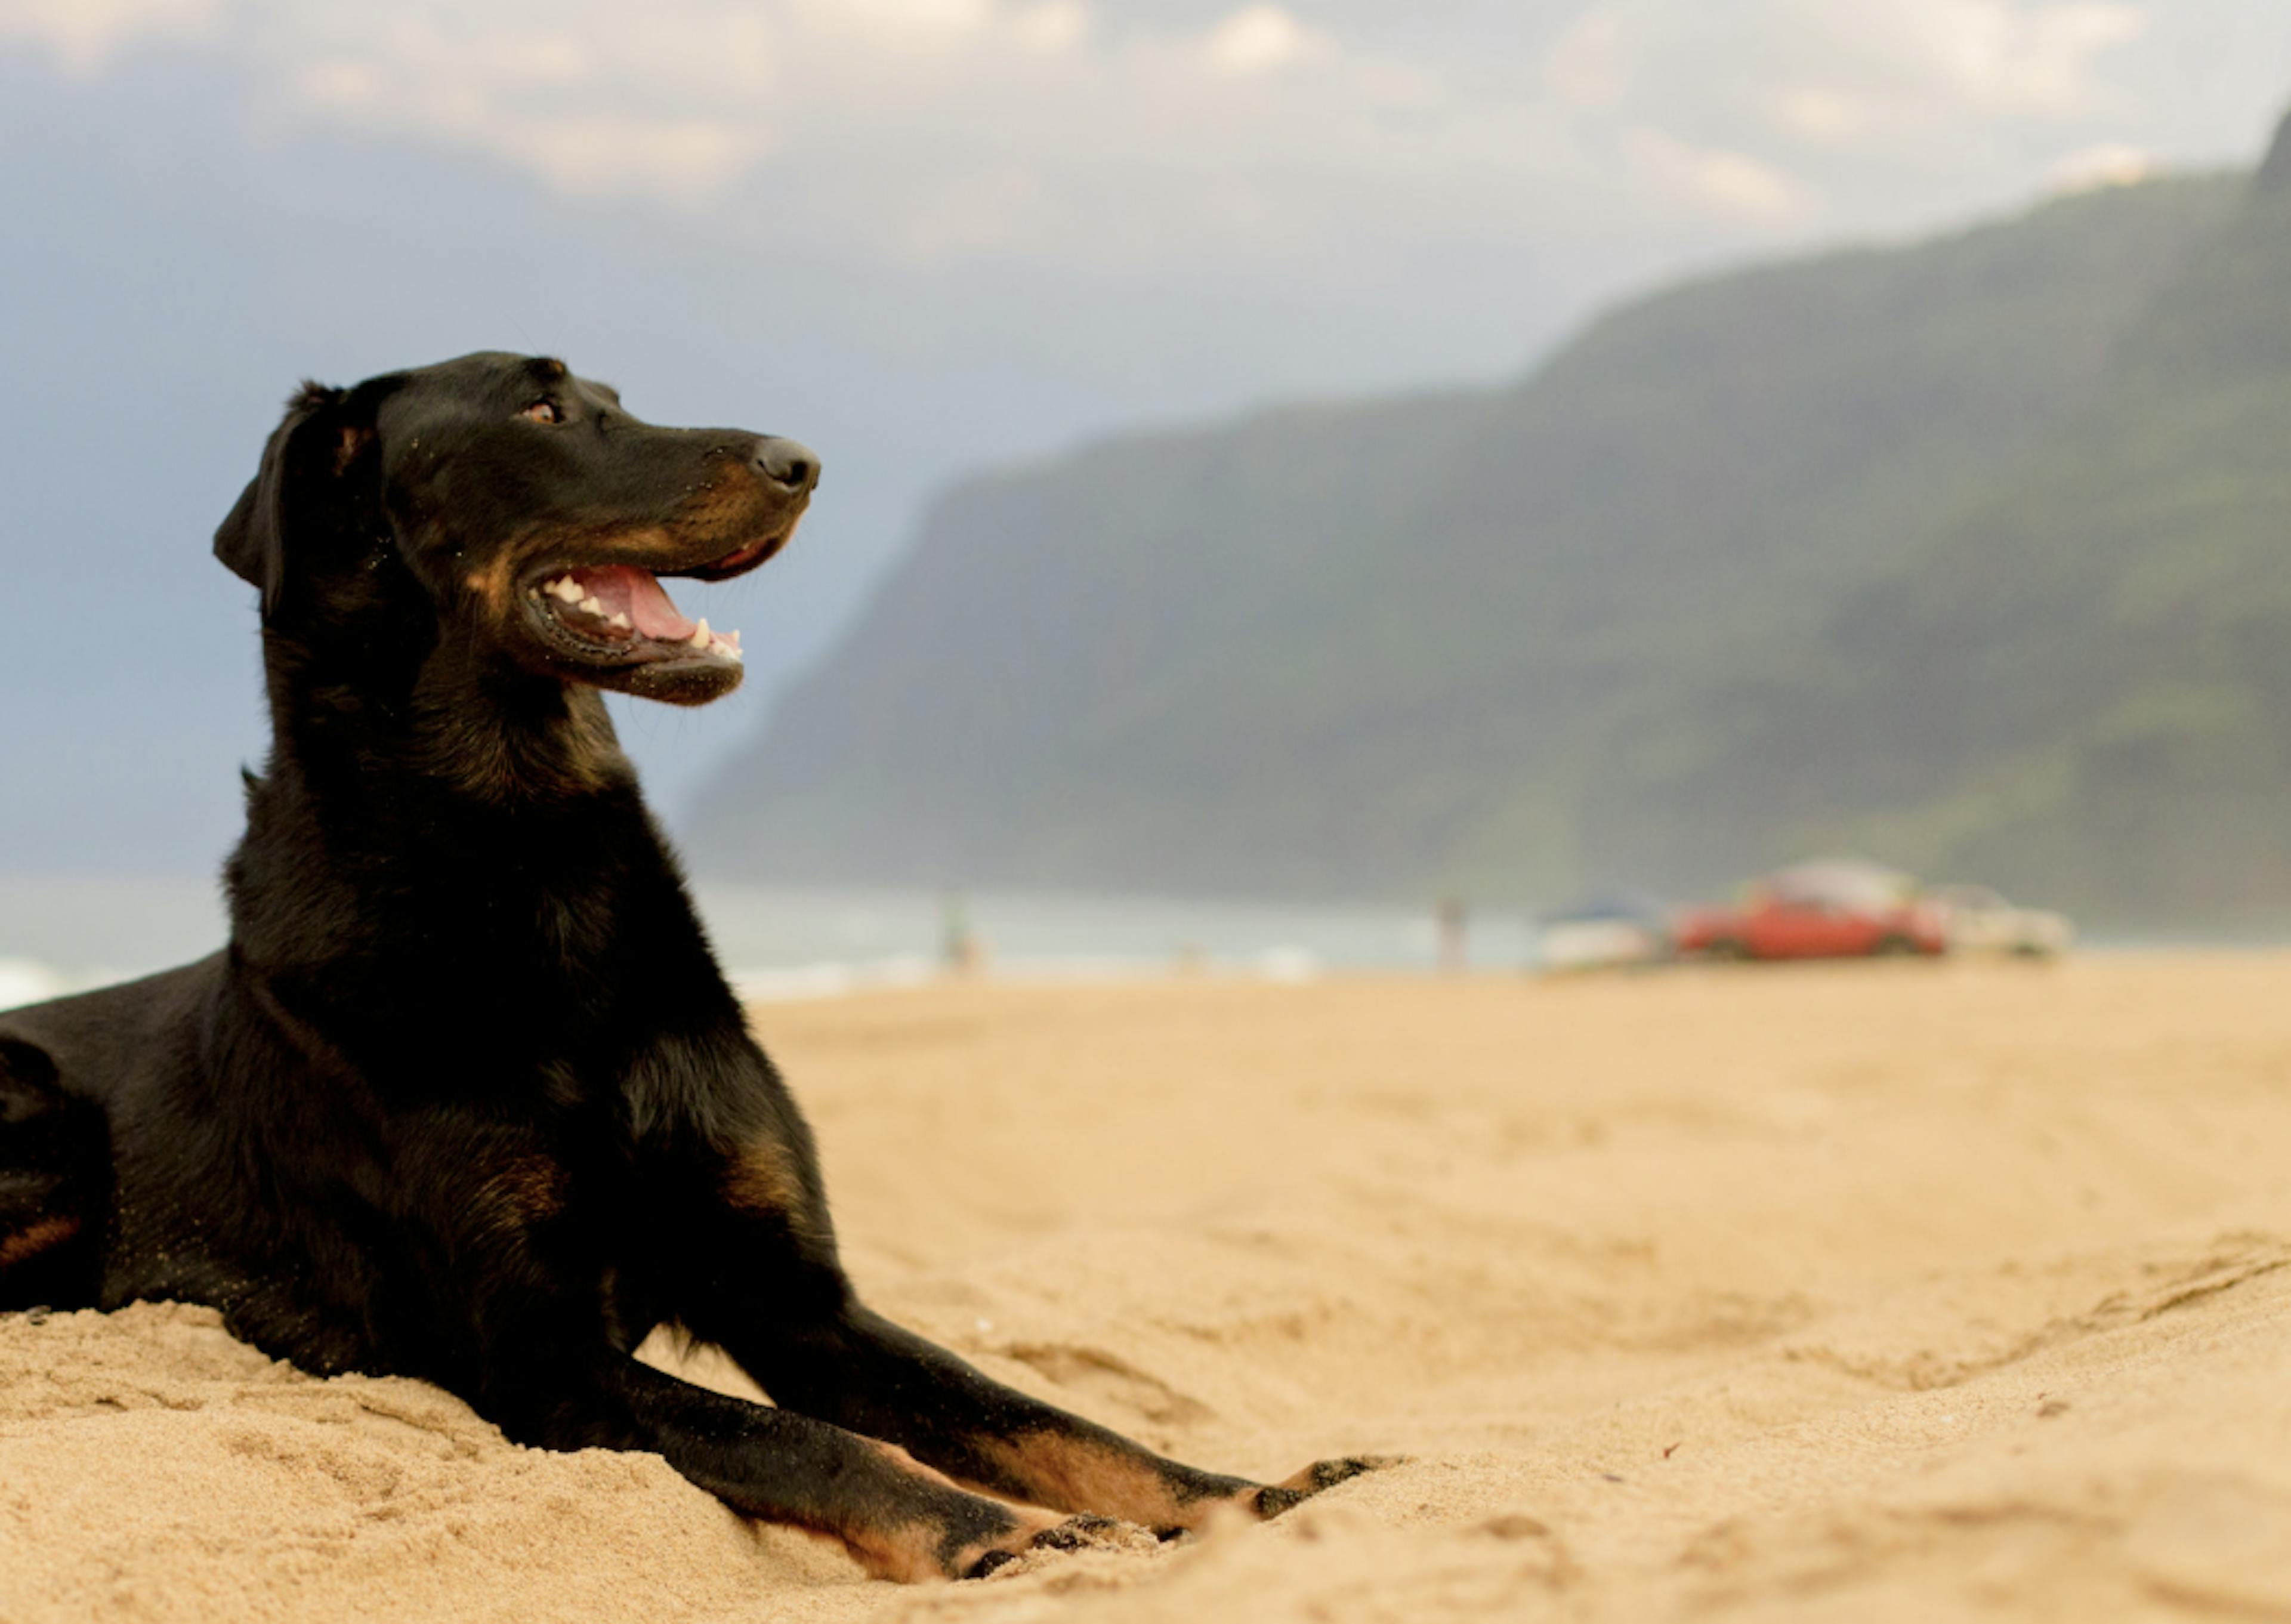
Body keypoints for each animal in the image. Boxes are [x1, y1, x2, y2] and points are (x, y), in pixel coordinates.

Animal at [0, 355, 1375, 1585]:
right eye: (541, 408)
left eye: (616, 394)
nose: (802, 463)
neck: (531, 872)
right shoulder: (541, 1357)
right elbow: (820, 1442)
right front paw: (1012, 1536)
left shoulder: (798, 1300)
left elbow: (1047, 1418)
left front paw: (1256, 1496)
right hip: (52, 1113)